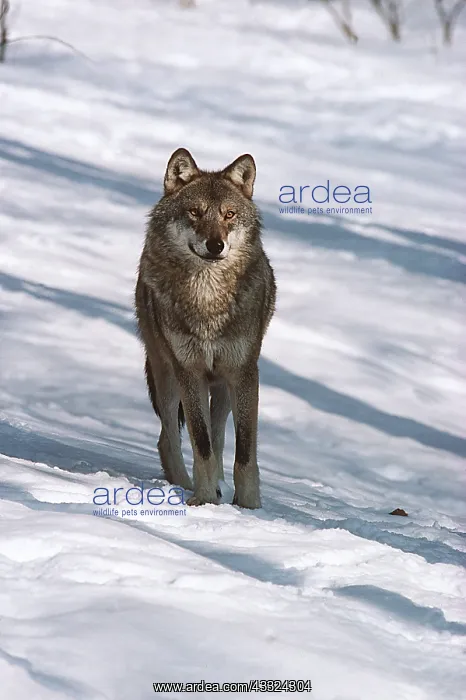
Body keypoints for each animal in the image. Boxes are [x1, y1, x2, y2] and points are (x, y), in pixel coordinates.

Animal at [135, 148, 276, 509]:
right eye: (195, 212)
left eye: (229, 215)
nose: (215, 245)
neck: (208, 300)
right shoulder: (189, 371)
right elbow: (201, 444)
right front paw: (203, 499)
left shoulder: (244, 372)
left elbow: (244, 452)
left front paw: (249, 506)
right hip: (166, 376)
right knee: (168, 438)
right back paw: (184, 486)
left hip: (222, 386)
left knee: (220, 436)